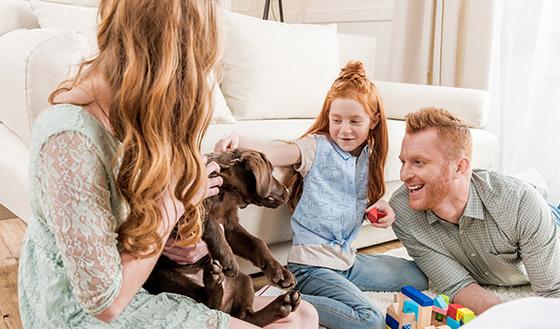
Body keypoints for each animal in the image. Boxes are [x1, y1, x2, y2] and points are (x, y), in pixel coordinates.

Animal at [145, 148, 302, 326]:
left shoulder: (231, 226)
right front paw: (226, 257)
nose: (288, 192)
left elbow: (257, 242)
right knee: (206, 303)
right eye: (271, 173)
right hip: (167, 277)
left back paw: (283, 304)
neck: (227, 192)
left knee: (247, 317)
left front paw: (280, 272)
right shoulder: (180, 214)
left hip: (243, 280)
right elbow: (209, 220)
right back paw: (213, 282)